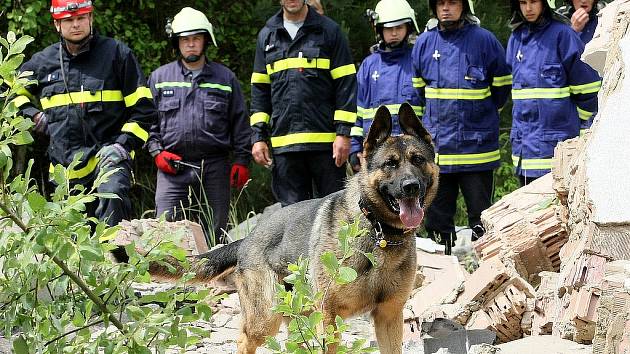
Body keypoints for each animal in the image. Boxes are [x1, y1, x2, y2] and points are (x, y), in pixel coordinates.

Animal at [153, 103, 440, 354]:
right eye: (390, 164)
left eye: (417, 160)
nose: (411, 186)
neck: (379, 230)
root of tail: (248, 238)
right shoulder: (328, 317)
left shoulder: (389, 316)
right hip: (265, 319)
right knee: (244, 340)